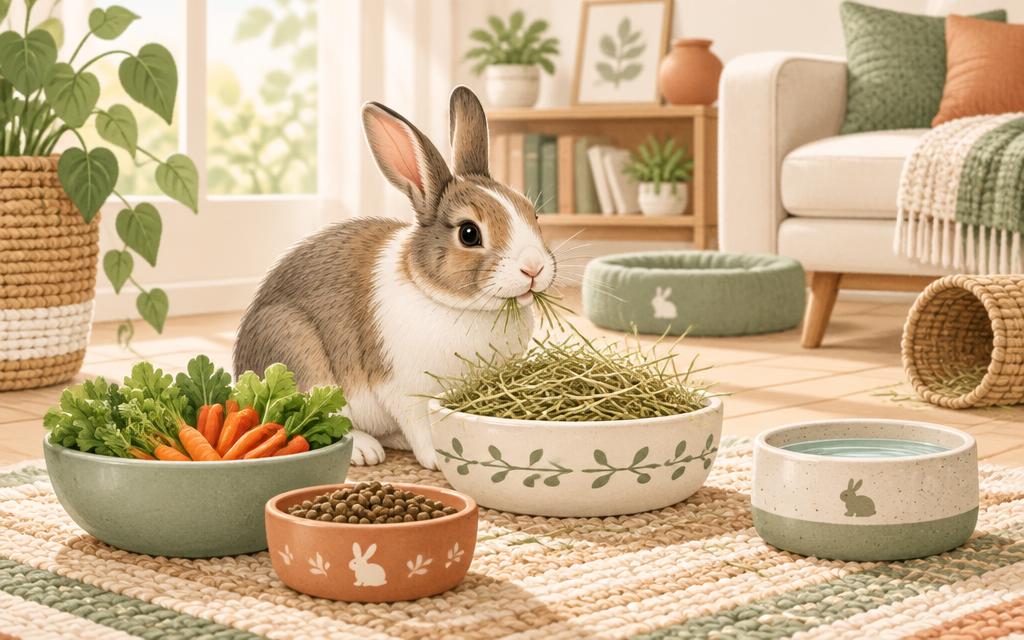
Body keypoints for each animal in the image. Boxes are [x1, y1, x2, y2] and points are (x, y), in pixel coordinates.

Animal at [233, 86, 557, 470]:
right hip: (295, 350)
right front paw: (438, 459)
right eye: (469, 233)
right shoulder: (406, 390)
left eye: (532, 213)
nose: (534, 268)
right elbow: (423, 426)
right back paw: (364, 450)